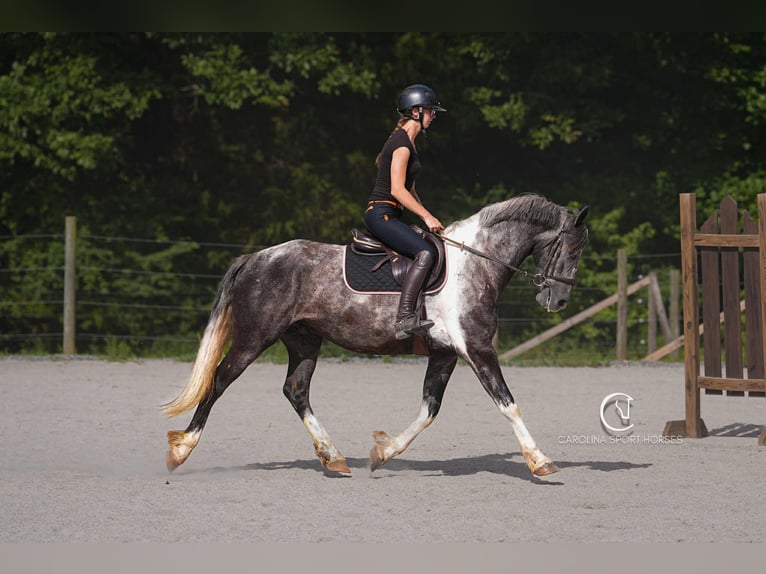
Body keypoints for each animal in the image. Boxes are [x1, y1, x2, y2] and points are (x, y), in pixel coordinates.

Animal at [162, 193, 589, 477]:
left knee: (296, 391)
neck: (475, 263)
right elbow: (508, 404)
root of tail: (256, 258)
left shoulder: (446, 354)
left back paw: (333, 458)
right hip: (254, 338)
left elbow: (429, 410)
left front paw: (383, 452)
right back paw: (182, 450)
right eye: (571, 249)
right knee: (218, 381)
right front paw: (540, 461)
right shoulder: (478, 349)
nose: (559, 300)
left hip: (304, 341)